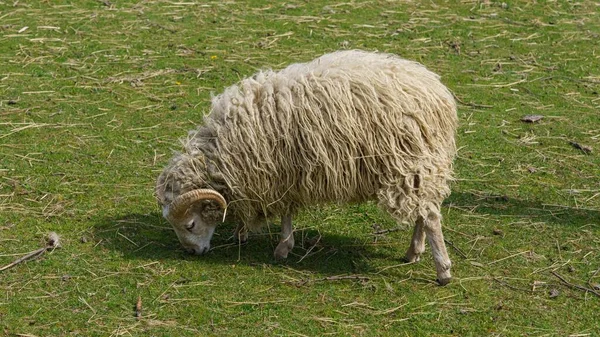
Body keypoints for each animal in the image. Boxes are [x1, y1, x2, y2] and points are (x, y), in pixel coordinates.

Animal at [157, 49, 458, 284]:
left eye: (190, 224)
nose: (192, 253)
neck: (223, 150)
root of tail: (437, 92)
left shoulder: (279, 173)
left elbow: (285, 211)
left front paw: (281, 247)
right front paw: (244, 232)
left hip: (407, 163)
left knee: (431, 216)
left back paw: (443, 271)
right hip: (419, 167)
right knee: (424, 211)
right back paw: (413, 252)